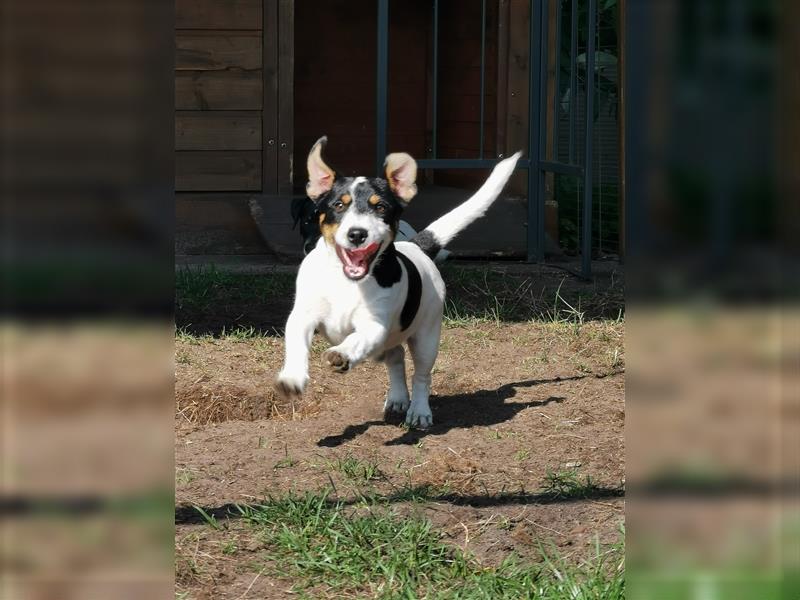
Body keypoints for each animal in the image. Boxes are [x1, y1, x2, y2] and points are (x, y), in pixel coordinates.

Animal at [276, 136, 520, 426]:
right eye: (338, 205)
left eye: (380, 207)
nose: (357, 234)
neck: (346, 282)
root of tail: (416, 246)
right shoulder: (302, 316)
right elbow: (296, 344)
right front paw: (292, 377)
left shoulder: (375, 325)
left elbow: (357, 339)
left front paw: (342, 354)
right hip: (388, 346)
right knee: (397, 359)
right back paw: (397, 398)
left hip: (426, 337)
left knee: (421, 375)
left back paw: (419, 411)